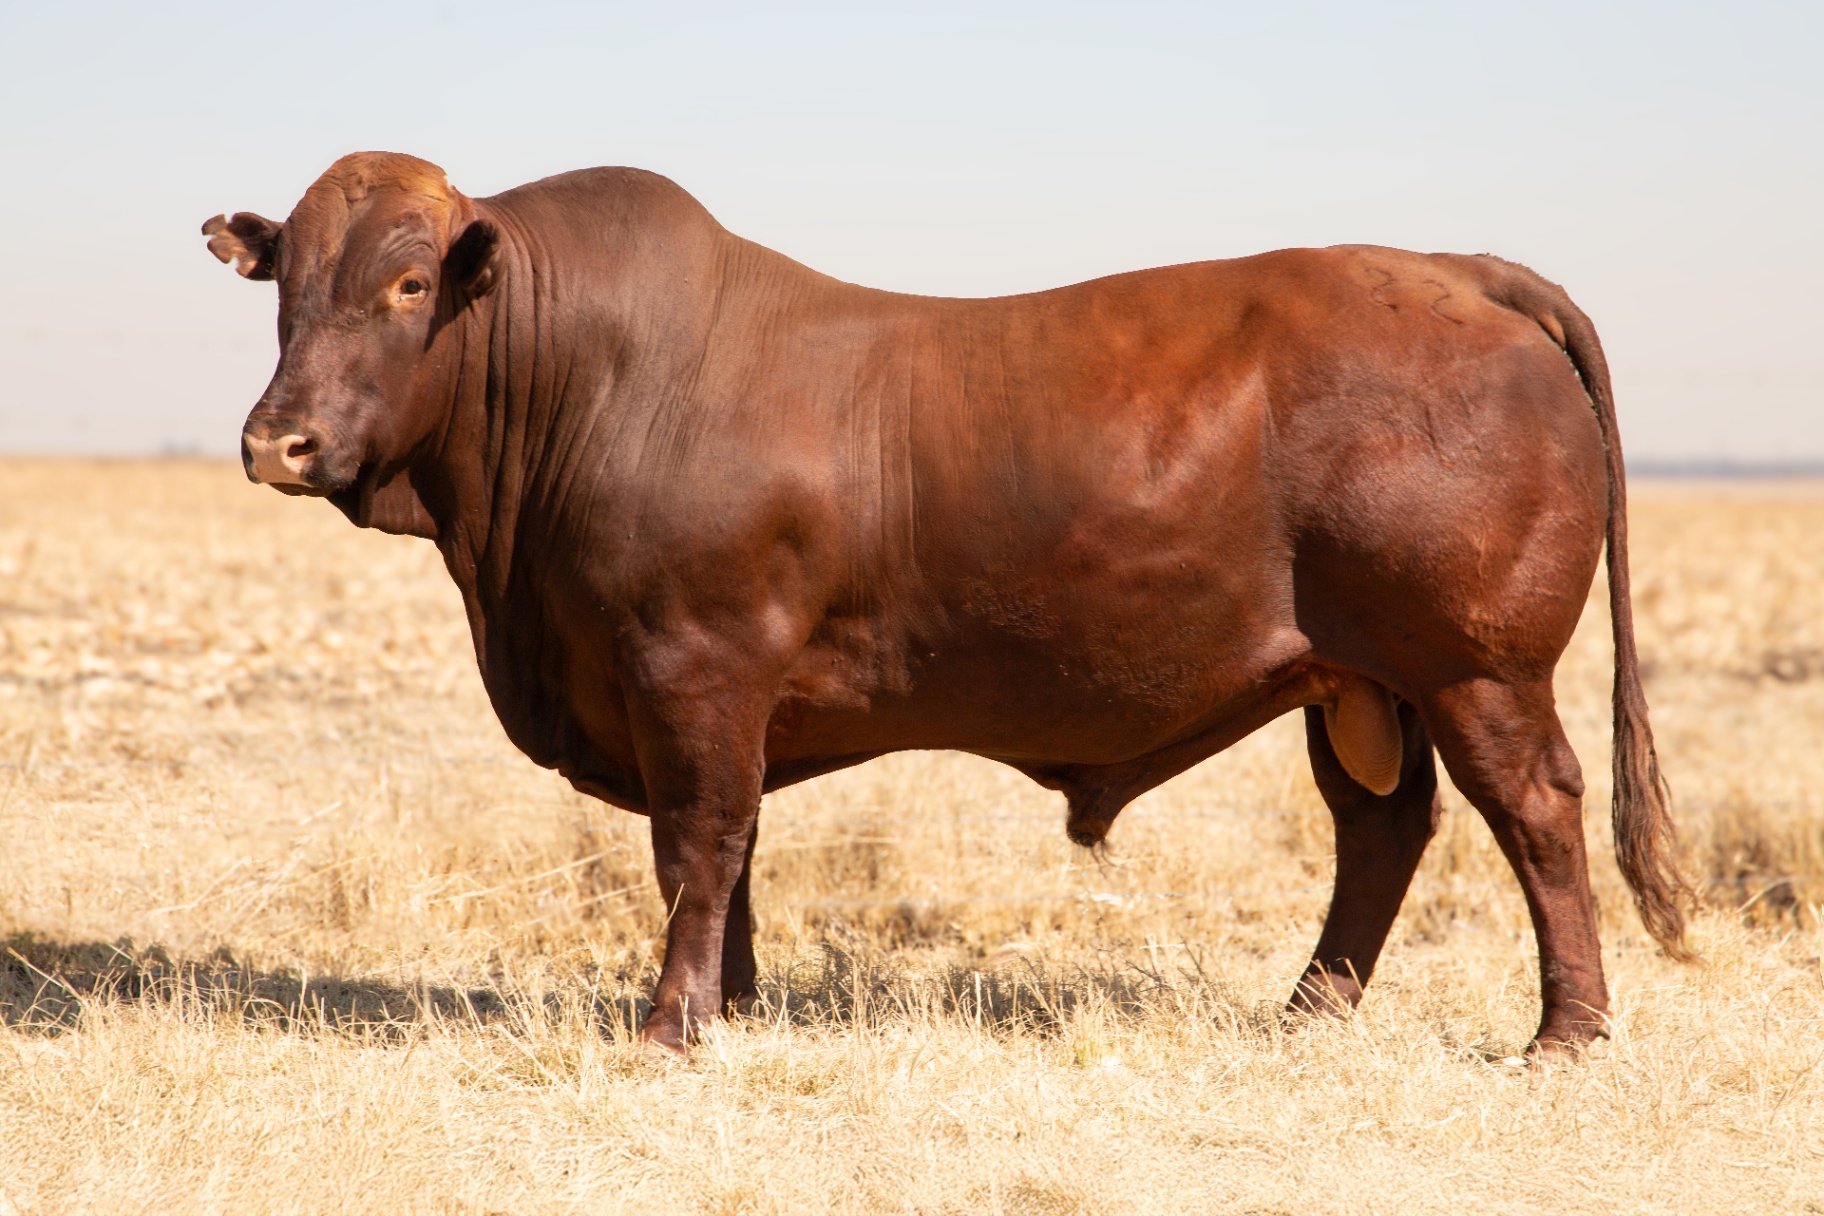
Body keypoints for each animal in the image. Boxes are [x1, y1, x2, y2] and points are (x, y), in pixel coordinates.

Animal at [203, 151, 1691, 1056]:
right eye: (286, 288)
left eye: (408, 283)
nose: (277, 444)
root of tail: (1458, 269)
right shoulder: (712, 695)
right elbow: (736, 852)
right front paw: (736, 1001)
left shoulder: (695, 667)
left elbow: (698, 842)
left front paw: (675, 1021)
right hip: (1359, 680)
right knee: (1384, 829)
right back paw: (1308, 1011)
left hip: (1476, 667)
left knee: (1537, 814)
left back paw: (1566, 1031)